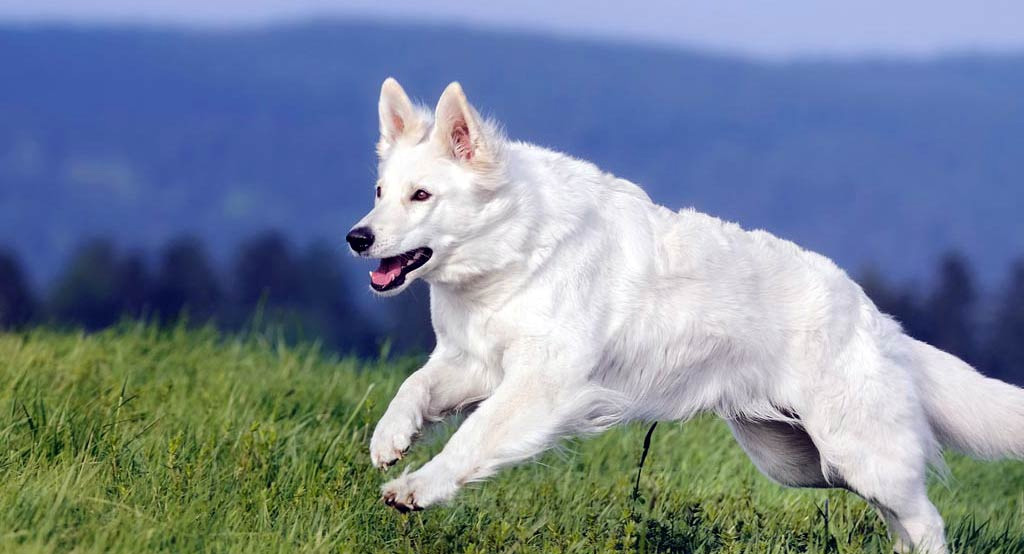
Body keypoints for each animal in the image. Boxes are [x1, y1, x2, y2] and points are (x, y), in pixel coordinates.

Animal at [350, 77, 1024, 552]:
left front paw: (416, 487)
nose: (357, 239)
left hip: (857, 452)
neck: (514, 249)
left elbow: (472, 438)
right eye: (380, 193)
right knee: (900, 518)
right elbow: (415, 387)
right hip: (802, 462)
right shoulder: (475, 363)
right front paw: (390, 439)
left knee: (927, 518)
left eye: (422, 196)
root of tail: (879, 319)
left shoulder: (540, 386)